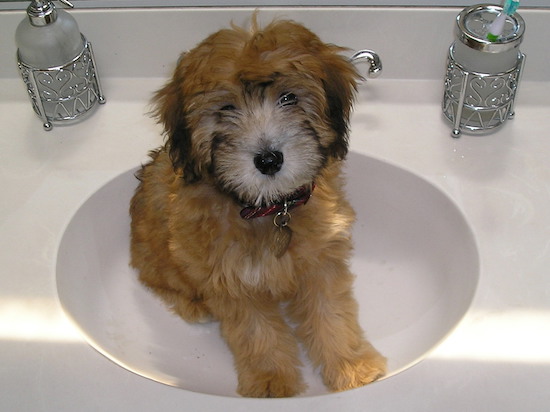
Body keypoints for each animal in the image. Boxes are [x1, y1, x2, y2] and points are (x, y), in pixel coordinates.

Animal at [130, 17, 388, 398]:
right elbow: (257, 332)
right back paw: (194, 304)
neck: (271, 209)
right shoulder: (230, 278)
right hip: (156, 251)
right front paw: (272, 383)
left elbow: (331, 315)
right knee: (157, 278)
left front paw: (352, 367)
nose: (268, 159)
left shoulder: (321, 261)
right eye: (226, 108)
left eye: (289, 97)